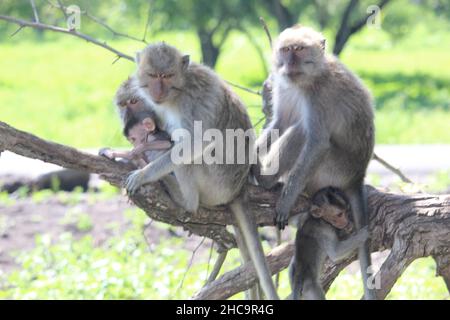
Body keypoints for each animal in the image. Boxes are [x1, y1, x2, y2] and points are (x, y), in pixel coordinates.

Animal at [123, 43, 278, 300]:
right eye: (153, 75)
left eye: (167, 76)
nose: (157, 91)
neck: (179, 90)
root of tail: (238, 190)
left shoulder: (193, 104)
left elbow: (196, 143)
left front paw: (144, 173)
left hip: (215, 184)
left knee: (188, 155)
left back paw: (184, 199)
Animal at [256, 25, 376, 300]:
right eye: (286, 49)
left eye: (299, 49)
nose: (289, 63)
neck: (306, 79)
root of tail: (358, 176)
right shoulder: (284, 86)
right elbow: (279, 123)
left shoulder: (318, 98)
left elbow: (317, 142)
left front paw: (286, 200)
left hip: (334, 169)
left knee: (303, 133)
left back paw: (265, 180)